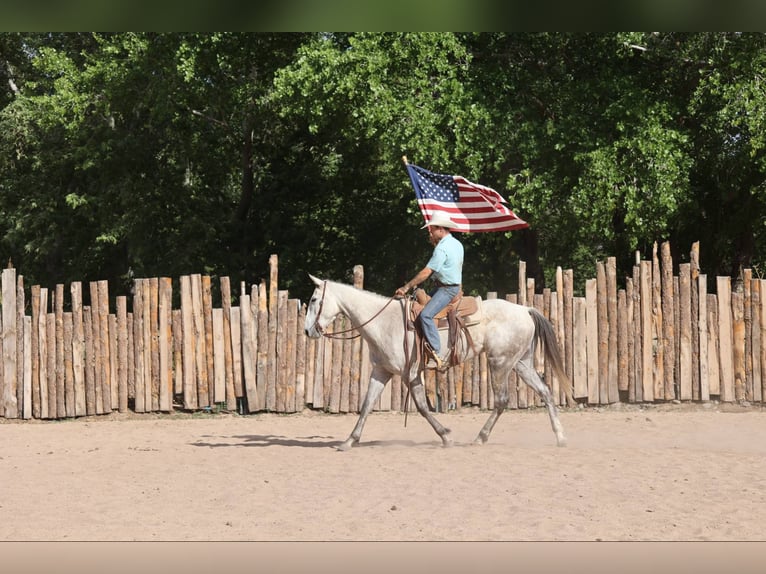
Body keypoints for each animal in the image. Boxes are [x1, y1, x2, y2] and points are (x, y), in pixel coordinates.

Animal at [304, 274, 574, 450]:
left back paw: (481, 437)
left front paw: (446, 436)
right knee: (545, 391)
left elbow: (423, 408)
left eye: (315, 299)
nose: (308, 331)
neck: (384, 322)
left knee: (501, 401)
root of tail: (525, 309)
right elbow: (367, 405)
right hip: (521, 363)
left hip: (500, 363)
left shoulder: (410, 374)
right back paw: (560, 437)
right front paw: (349, 441)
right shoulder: (381, 371)